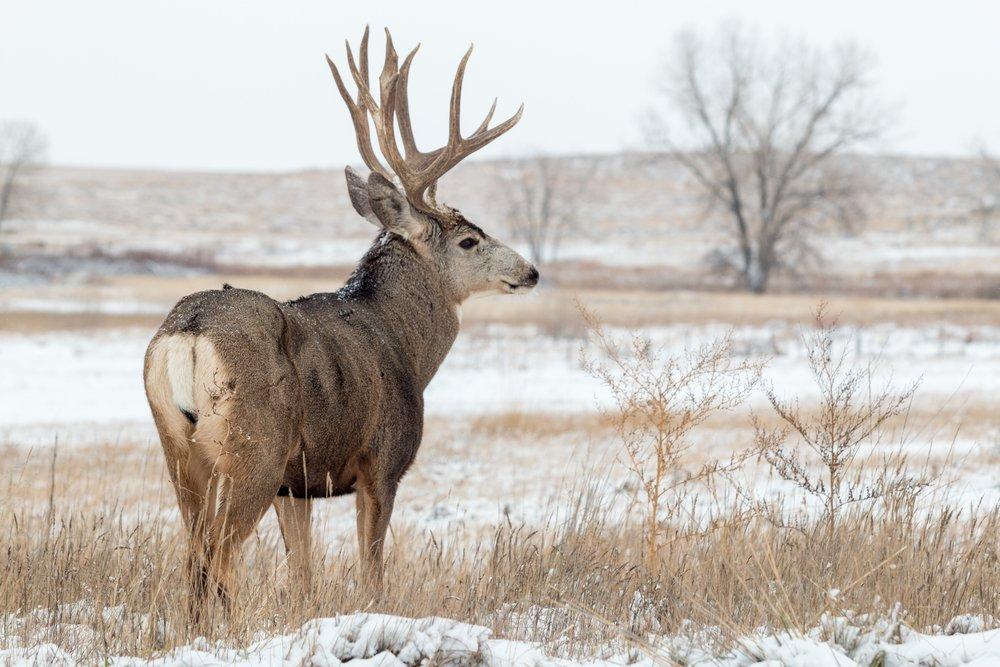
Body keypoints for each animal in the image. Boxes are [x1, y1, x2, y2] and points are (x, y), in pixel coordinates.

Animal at [144, 27, 536, 612]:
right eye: (470, 239)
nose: (531, 271)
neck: (403, 343)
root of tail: (187, 334)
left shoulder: (297, 483)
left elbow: (302, 575)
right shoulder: (381, 462)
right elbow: (372, 570)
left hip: (179, 448)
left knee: (194, 557)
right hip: (253, 449)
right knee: (215, 558)